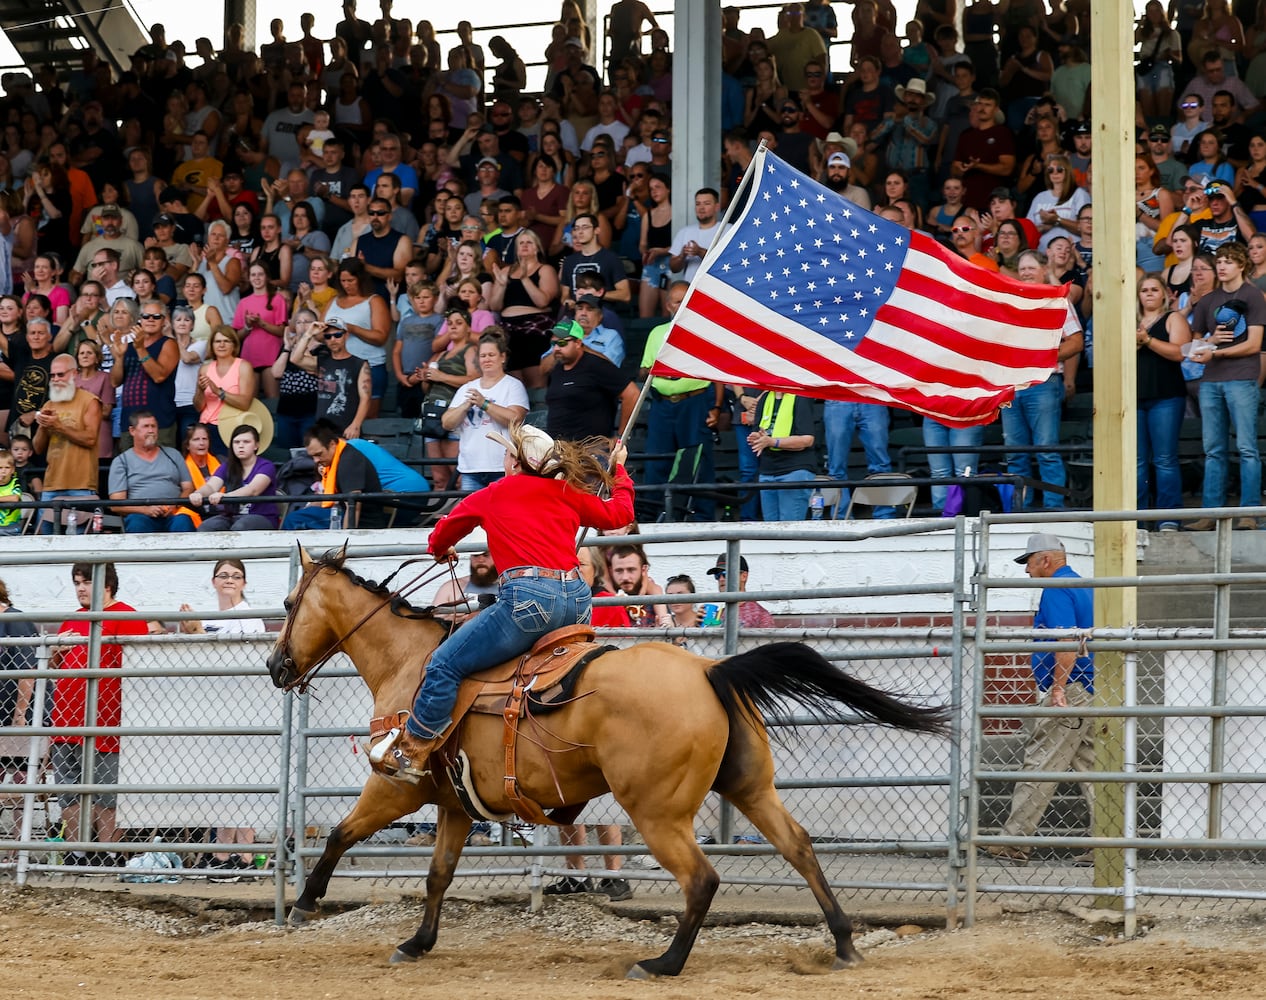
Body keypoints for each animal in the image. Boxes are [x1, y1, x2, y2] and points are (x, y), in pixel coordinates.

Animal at [269, 549, 952, 977]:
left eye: (287, 602)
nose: (276, 666)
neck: (411, 663)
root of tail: (709, 671)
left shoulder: (398, 787)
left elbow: (339, 833)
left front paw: (305, 903)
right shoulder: (456, 806)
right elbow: (438, 876)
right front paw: (417, 943)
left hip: (656, 809)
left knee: (702, 878)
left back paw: (662, 964)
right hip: (751, 788)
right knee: (800, 847)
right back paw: (843, 944)